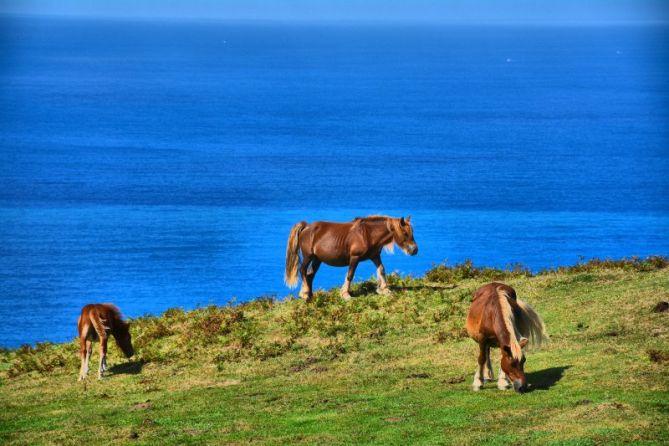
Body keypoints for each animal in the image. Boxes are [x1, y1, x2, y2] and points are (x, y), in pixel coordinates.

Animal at [284, 215, 418, 300]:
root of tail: (306, 226)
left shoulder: (374, 256)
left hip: (318, 259)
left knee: (310, 275)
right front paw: (345, 294)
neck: (367, 234)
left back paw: (310, 295)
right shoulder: (355, 257)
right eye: (405, 233)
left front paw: (384, 289)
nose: (415, 250)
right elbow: (350, 275)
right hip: (308, 256)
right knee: (302, 270)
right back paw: (305, 294)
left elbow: (381, 269)